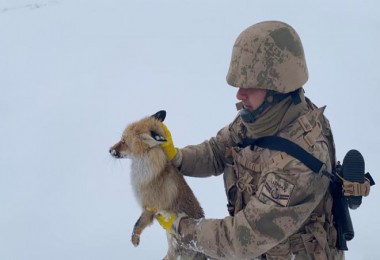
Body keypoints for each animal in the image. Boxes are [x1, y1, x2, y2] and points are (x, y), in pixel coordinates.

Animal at [108, 110, 206, 260]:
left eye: (124, 141)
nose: (110, 150)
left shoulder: (150, 208)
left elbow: (138, 224)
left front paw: (135, 238)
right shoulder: (148, 208)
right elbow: (139, 223)